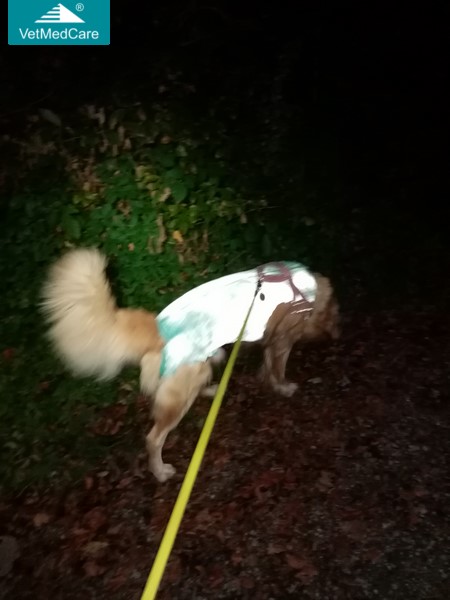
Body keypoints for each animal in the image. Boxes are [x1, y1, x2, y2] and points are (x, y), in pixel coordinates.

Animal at [41, 248, 339, 482]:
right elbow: (278, 369)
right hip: (181, 391)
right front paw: (283, 387)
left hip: (202, 365)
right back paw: (161, 472)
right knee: (153, 439)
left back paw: (211, 390)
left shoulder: (271, 340)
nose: (334, 337)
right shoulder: (282, 342)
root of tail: (158, 327)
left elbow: (267, 364)